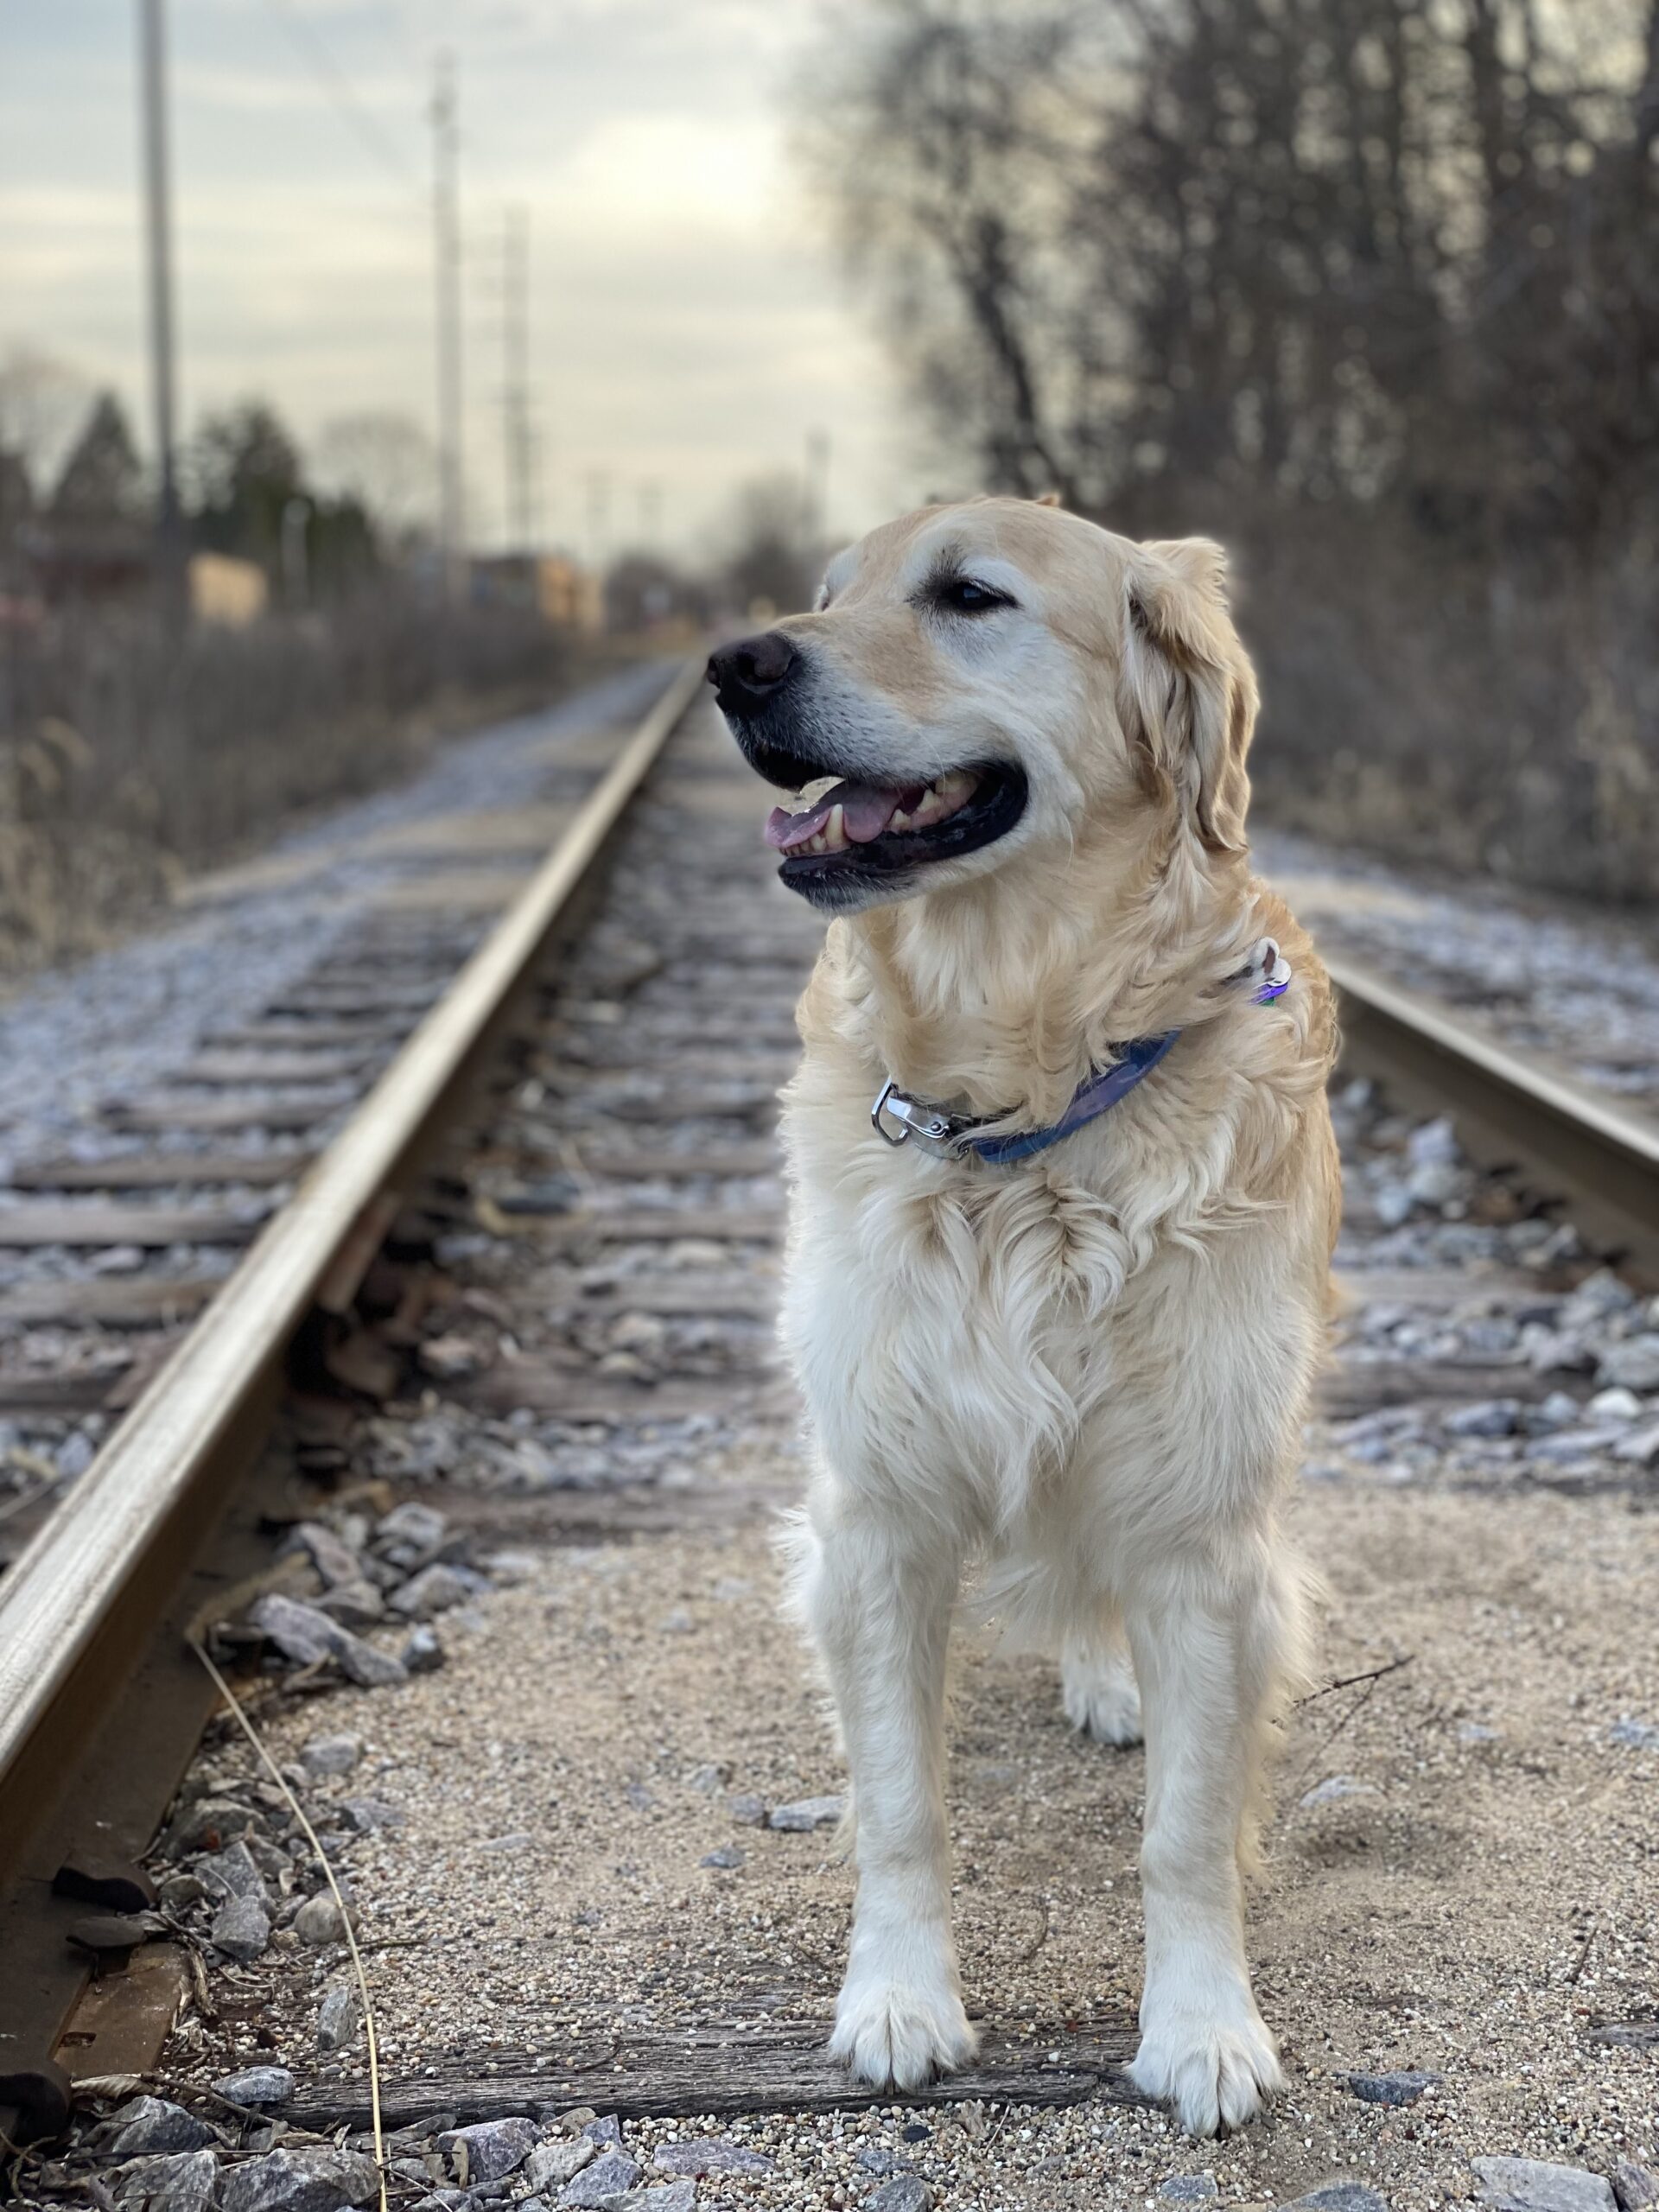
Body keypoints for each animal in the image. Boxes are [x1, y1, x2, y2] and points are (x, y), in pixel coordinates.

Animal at [708, 493, 1344, 2132]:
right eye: (827, 591)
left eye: (969, 596)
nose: (735, 663)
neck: (1027, 1117)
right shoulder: (875, 1515)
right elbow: (899, 1804)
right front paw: (898, 2001)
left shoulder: (1204, 1531)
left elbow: (1187, 1832)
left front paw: (1202, 2028)